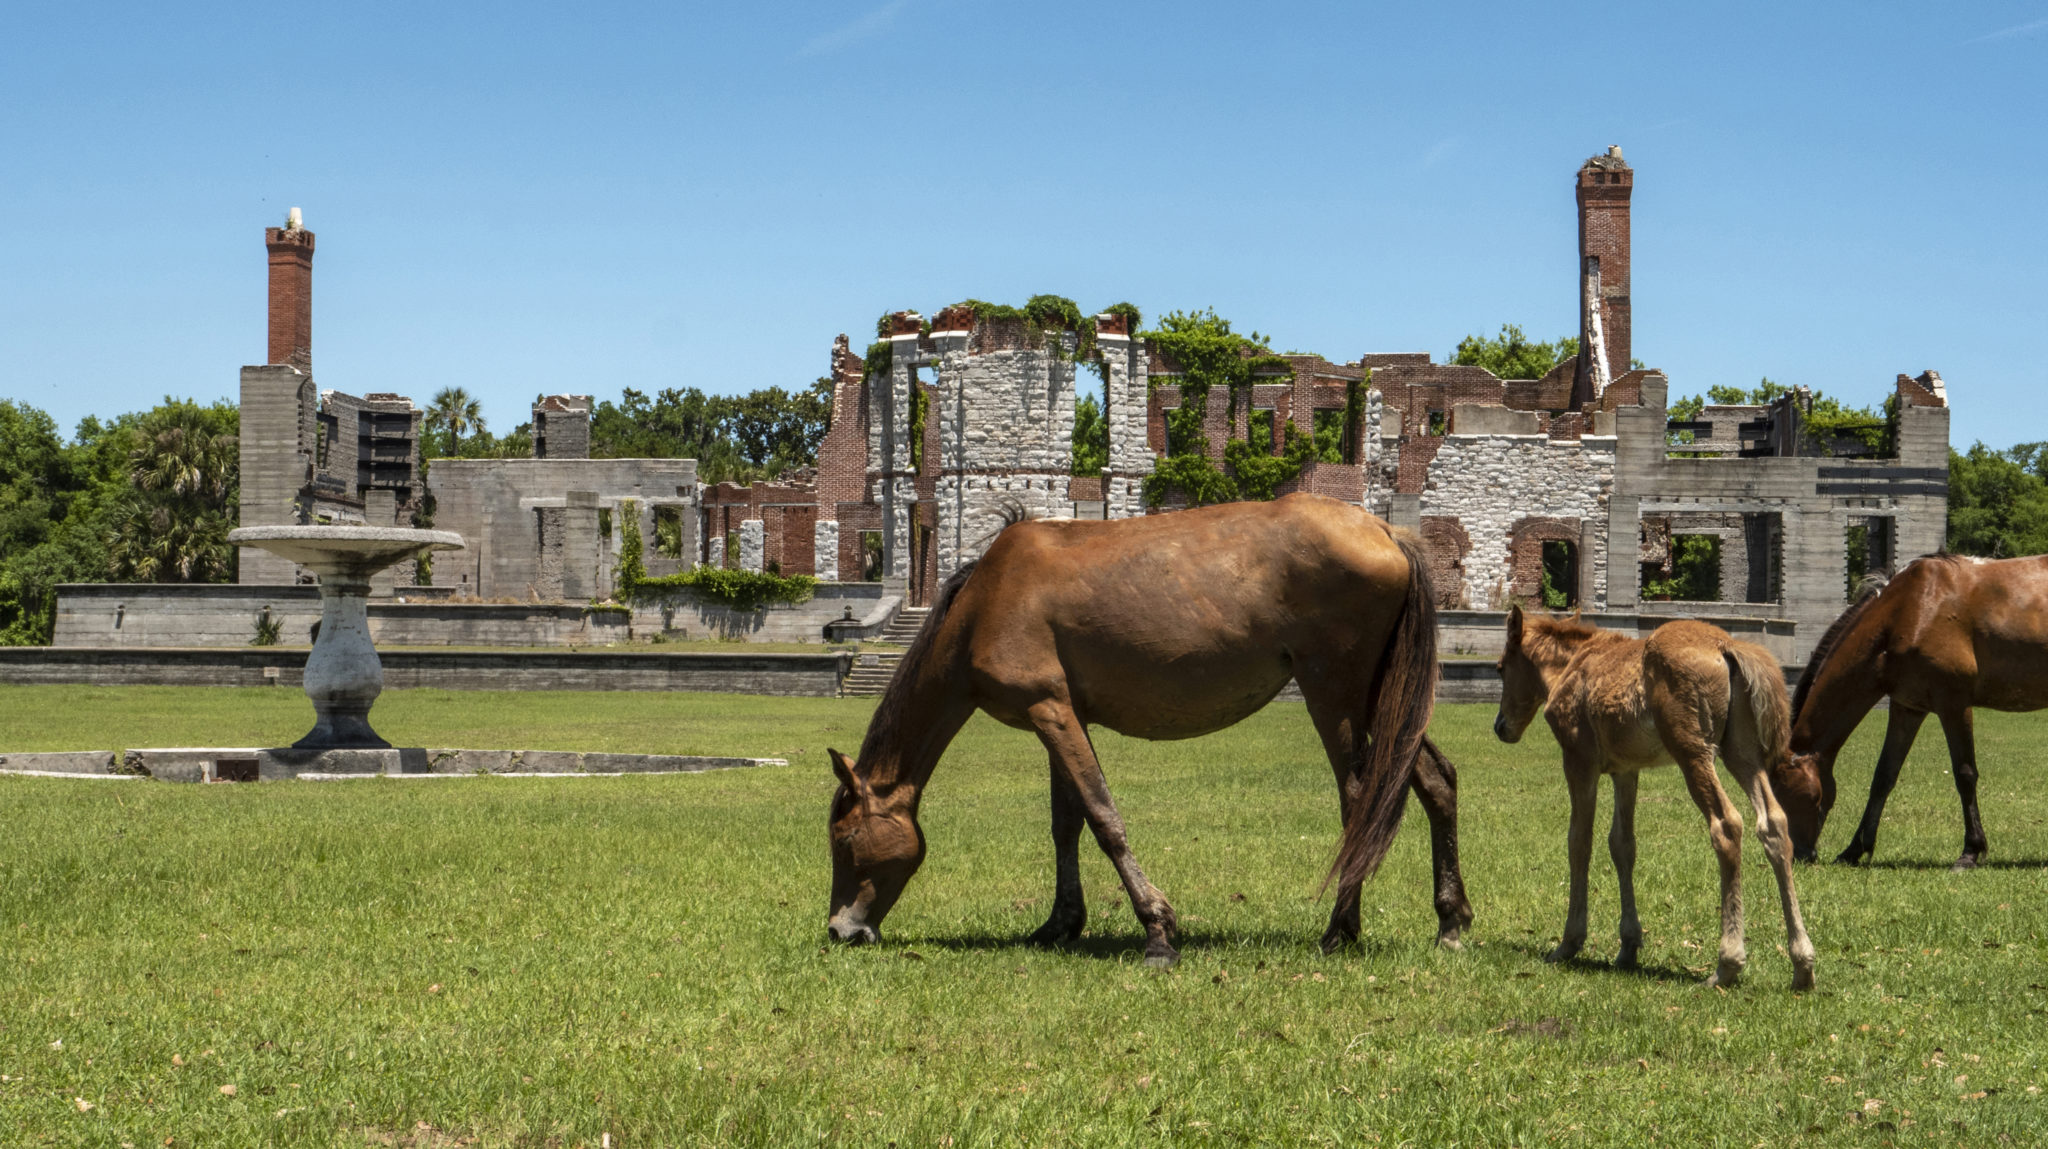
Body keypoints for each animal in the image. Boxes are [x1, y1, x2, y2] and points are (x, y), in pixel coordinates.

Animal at [824, 493, 1470, 968]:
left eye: (845, 840)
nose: (840, 931)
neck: (988, 599)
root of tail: (1385, 531)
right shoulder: (1060, 715)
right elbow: (1066, 826)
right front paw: (1061, 922)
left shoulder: (1049, 710)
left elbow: (1104, 819)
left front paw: (1157, 931)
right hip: (1382, 700)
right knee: (1436, 782)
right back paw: (1451, 920)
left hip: (1335, 695)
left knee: (1360, 800)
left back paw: (1340, 929)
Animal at [1494, 607, 1816, 990]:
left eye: (1500, 668)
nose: (1501, 727)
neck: (1570, 665)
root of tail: (1727, 646)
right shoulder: (1625, 770)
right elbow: (1622, 844)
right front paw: (1628, 946)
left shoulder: (1579, 760)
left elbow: (1579, 842)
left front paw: (1569, 943)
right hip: (1742, 752)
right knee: (1774, 823)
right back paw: (1802, 964)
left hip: (1692, 751)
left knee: (1726, 824)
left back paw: (1727, 963)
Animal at [1771, 553, 2048, 870]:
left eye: (1785, 793)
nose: (1797, 854)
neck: (1912, 610)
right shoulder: (1907, 708)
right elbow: (1884, 776)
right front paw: (1855, 849)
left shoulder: (1953, 704)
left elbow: (1965, 774)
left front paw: (1970, 851)